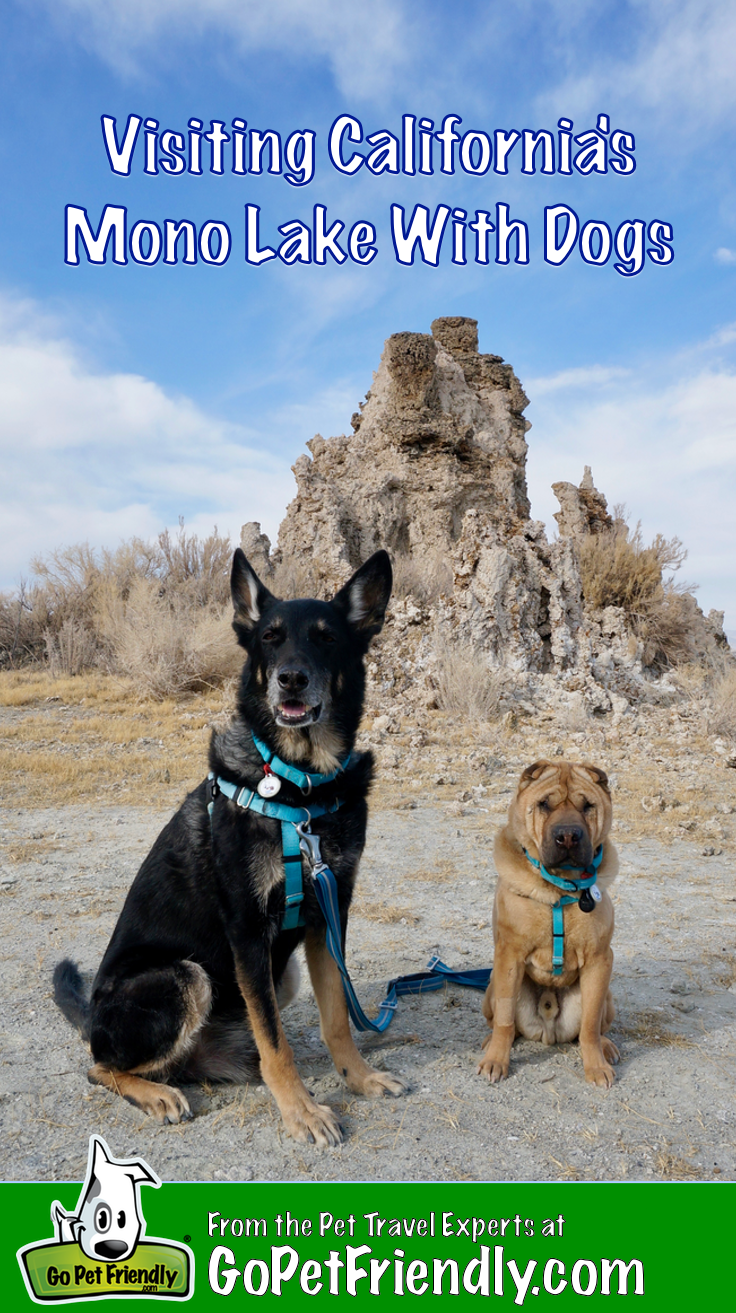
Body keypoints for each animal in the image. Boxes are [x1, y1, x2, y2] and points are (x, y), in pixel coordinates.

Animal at [53, 548, 406, 1144]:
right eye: (270, 637)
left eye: (326, 639)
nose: (291, 679)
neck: (299, 784)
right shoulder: (247, 931)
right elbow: (276, 1043)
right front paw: (301, 1111)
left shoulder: (328, 916)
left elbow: (336, 1018)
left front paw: (359, 1077)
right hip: (185, 976)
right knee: (100, 1065)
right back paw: (156, 1093)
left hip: (277, 976)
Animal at [477, 761, 619, 1087]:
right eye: (544, 804)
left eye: (587, 806)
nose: (567, 836)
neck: (559, 889)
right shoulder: (509, 958)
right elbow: (505, 1021)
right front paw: (496, 1061)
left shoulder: (599, 961)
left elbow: (590, 1025)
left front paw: (597, 1066)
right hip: (491, 987)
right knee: (502, 1023)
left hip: (607, 995)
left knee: (596, 1026)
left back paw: (607, 1047)